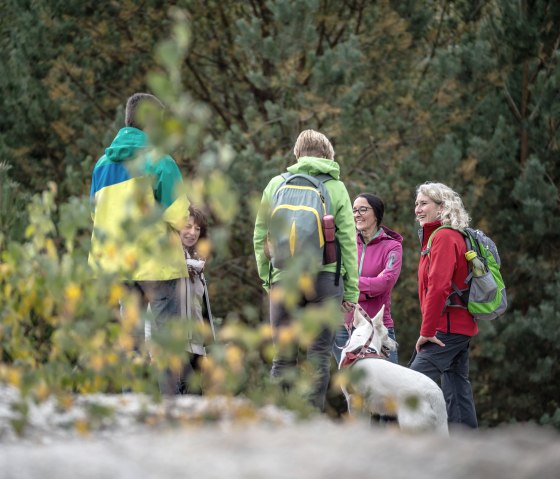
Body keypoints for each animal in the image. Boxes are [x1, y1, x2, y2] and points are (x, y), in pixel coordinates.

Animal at [340, 306, 448, 436]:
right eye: (387, 335)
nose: (397, 344)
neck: (360, 347)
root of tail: (434, 392)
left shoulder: (353, 403)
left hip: (410, 426)